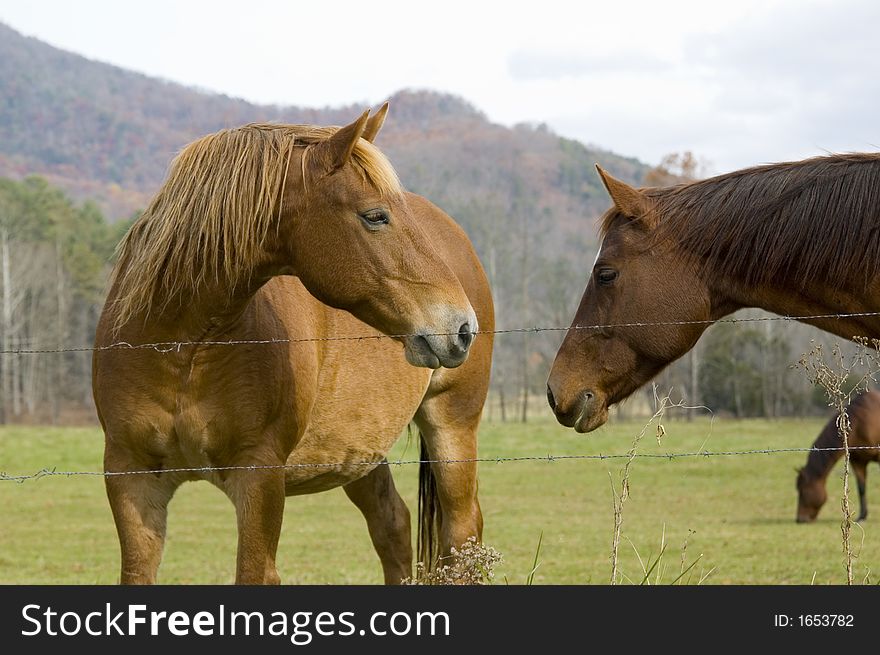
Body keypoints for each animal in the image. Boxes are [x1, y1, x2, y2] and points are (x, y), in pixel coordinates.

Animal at [96, 106, 496, 584]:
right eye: (375, 216)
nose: (462, 327)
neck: (183, 349)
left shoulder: (260, 476)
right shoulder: (131, 477)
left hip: (452, 427)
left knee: (462, 534)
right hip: (360, 451)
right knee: (393, 525)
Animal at [796, 390, 880, 524]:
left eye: (802, 491)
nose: (800, 519)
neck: (862, 421)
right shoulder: (858, 461)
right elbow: (861, 488)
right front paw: (862, 516)